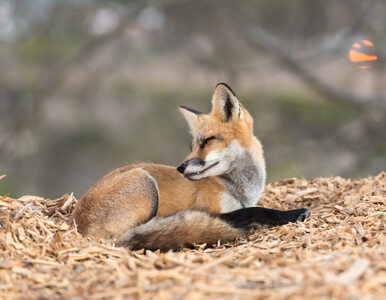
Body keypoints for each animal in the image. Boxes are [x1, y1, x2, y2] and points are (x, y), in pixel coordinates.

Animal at [71, 83, 310, 250]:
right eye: (192, 145)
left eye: (207, 141)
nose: (181, 167)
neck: (239, 190)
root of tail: (77, 223)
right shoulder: (213, 209)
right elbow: (255, 210)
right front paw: (292, 214)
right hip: (145, 183)